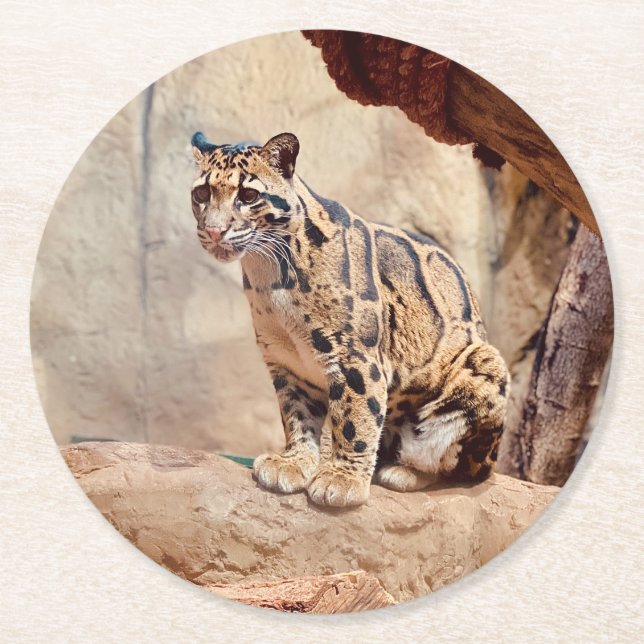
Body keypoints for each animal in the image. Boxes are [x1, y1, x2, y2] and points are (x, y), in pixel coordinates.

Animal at [190, 130, 509, 507]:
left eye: (248, 195)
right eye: (201, 193)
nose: (213, 231)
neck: (268, 271)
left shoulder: (354, 356)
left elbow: (355, 417)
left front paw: (341, 480)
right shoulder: (287, 362)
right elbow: (297, 416)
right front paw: (295, 462)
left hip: (485, 366)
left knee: (458, 466)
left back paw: (403, 471)